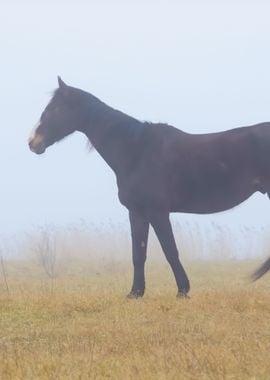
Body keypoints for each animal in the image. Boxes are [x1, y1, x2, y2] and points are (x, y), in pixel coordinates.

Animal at [29, 76, 270, 296]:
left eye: (54, 108)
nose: (33, 142)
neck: (136, 150)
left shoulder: (157, 212)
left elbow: (170, 251)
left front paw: (183, 290)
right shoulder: (137, 212)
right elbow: (138, 253)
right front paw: (135, 292)